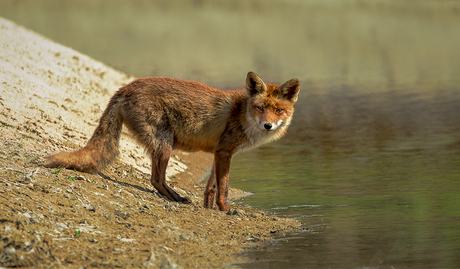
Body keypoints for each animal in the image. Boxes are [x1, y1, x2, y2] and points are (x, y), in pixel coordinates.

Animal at [45, 72, 300, 210]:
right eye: (260, 108)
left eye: (278, 110)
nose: (267, 125)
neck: (241, 113)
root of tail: (124, 87)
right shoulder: (224, 152)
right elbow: (224, 188)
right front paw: (226, 210)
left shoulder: (219, 153)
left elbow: (210, 188)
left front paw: (210, 209)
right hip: (164, 146)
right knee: (156, 179)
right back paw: (177, 199)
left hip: (161, 146)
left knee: (156, 179)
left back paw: (177, 198)